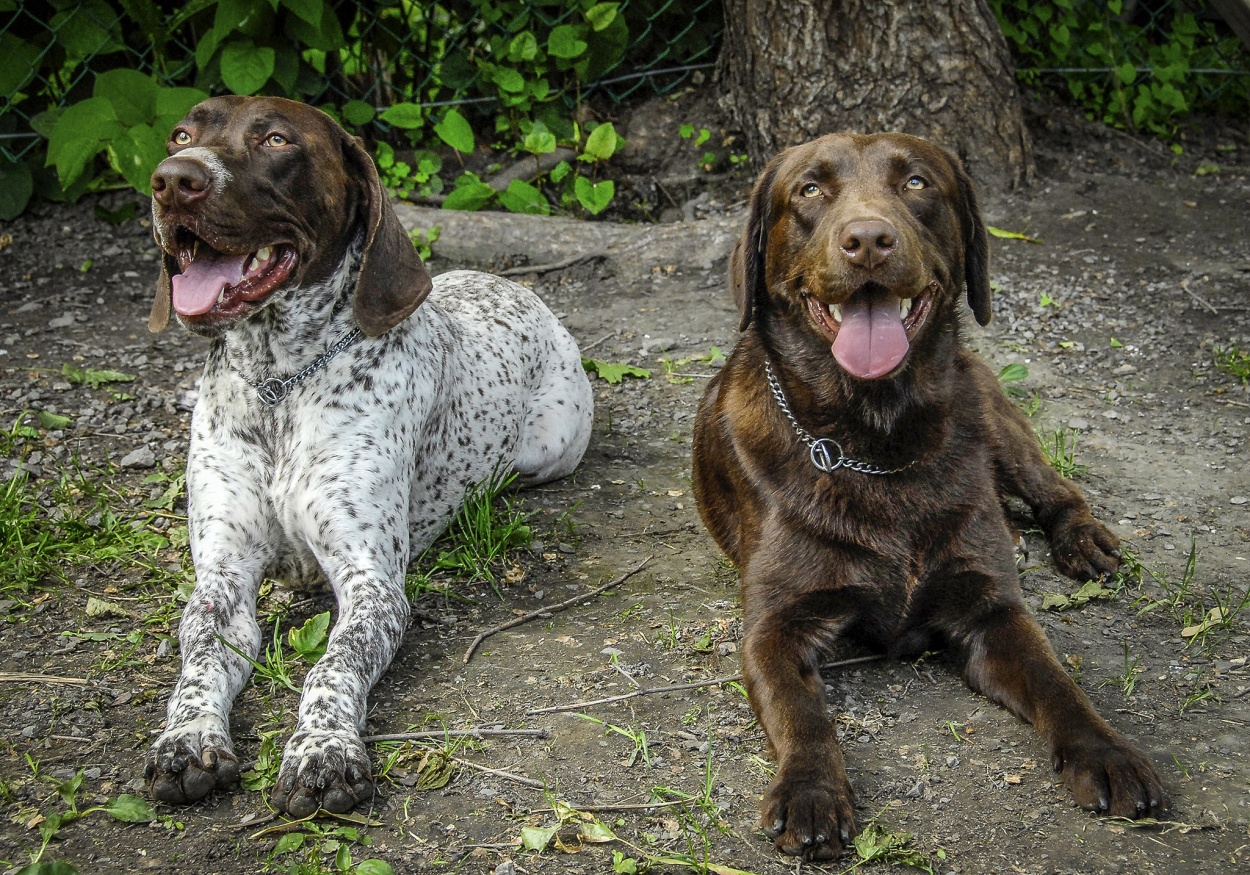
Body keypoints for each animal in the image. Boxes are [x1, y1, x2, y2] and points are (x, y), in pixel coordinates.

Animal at [143, 97, 592, 820]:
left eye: (277, 139)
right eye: (180, 135)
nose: (173, 179)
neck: (279, 383)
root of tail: (507, 283)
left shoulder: (372, 584)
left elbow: (333, 666)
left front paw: (323, 750)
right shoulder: (221, 578)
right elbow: (200, 661)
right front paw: (187, 737)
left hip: (554, 446)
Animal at [690, 133, 1165, 860]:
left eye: (916, 182)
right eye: (808, 190)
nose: (868, 240)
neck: (877, 442)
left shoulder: (993, 611)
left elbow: (1059, 684)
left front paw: (1106, 751)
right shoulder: (775, 627)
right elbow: (803, 714)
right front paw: (811, 790)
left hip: (998, 420)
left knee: (1055, 488)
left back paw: (1082, 540)